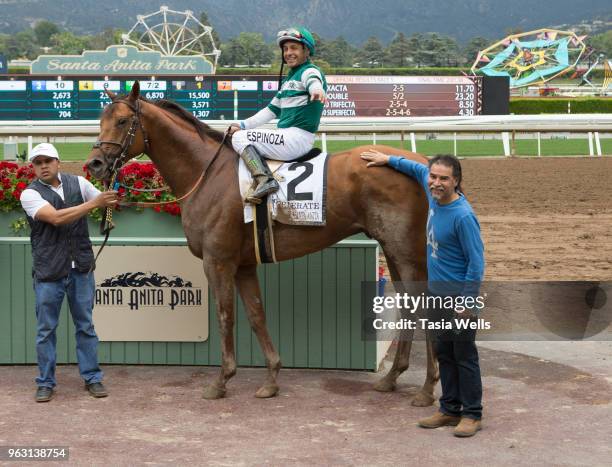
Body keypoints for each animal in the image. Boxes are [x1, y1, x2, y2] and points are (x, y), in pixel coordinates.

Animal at [87, 82, 440, 404]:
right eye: (101, 119)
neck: (208, 172)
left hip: (405, 250)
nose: (94, 164)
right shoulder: (244, 264)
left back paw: (426, 388)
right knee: (409, 307)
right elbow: (257, 315)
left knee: (424, 307)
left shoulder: (218, 260)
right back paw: (392, 378)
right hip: (393, 250)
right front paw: (271, 379)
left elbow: (225, 316)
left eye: (122, 121)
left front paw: (221, 381)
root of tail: (423, 163)